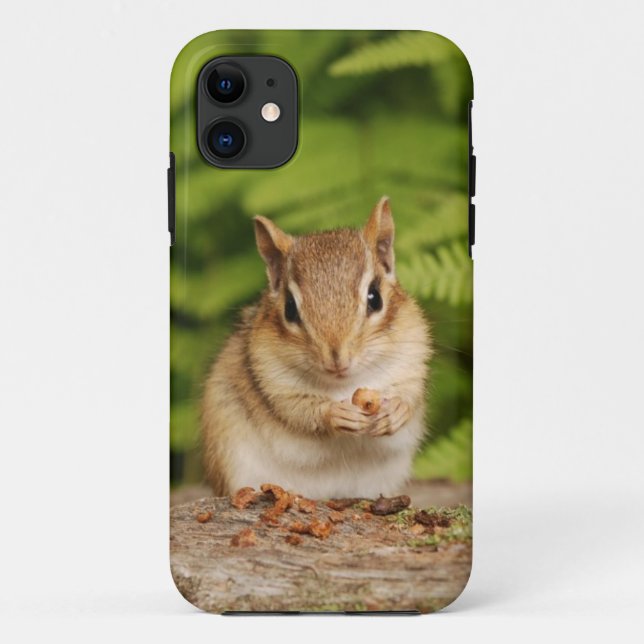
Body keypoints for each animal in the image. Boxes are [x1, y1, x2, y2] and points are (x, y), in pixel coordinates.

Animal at [201, 197, 431, 499]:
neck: (344, 385)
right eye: (289, 308)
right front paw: (335, 414)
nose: (337, 359)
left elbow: (410, 393)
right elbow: (298, 410)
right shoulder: (273, 381)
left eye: (375, 298)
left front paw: (396, 411)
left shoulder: (412, 361)